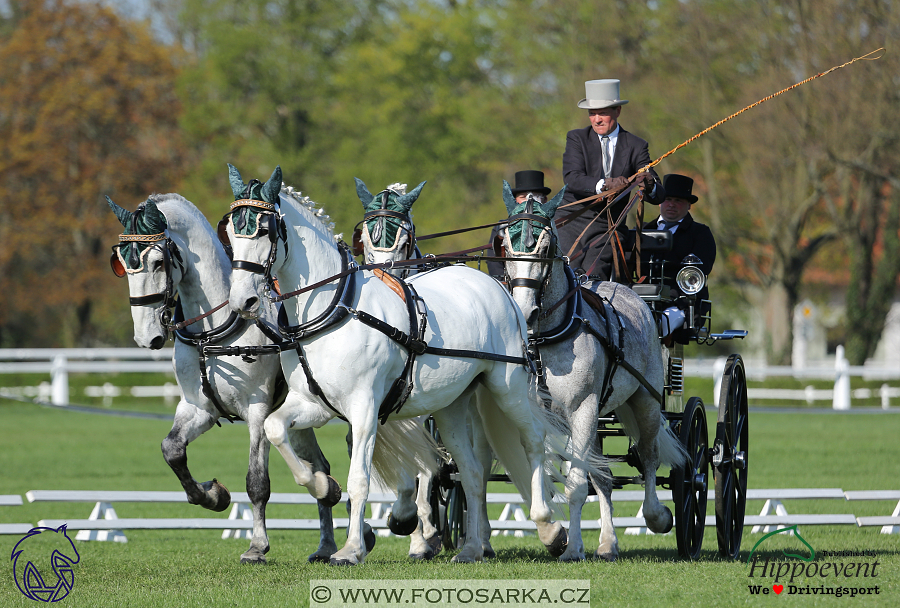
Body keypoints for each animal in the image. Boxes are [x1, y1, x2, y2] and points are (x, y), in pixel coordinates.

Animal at [105, 195, 342, 564]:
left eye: (158, 262)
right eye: (121, 265)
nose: (146, 338)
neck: (213, 330)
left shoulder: (258, 411)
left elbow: (257, 483)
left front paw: (257, 546)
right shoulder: (198, 408)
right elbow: (172, 450)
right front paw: (212, 495)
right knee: (320, 464)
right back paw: (327, 540)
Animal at [227, 166, 576, 564]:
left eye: (264, 230)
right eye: (229, 234)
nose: (242, 301)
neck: (333, 309)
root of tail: (496, 285)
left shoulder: (364, 408)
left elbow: (360, 481)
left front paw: (351, 549)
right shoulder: (314, 403)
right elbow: (275, 429)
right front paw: (323, 487)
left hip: (509, 387)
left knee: (532, 440)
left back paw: (549, 528)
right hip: (450, 406)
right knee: (471, 472)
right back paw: (471, 547)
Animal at [496, 184, 684, 560]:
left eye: (546, 246)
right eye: (506, 244)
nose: (524, 311)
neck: (546, 339)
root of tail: (630, 292)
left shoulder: (582, 408)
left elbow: (576, 485)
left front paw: (572, 548)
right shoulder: (539, 414)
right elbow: (550, 475)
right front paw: (554, 533)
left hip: (644, 402)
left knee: (649, 457)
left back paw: (656, 516)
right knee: (604, 476)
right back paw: (608, 542)